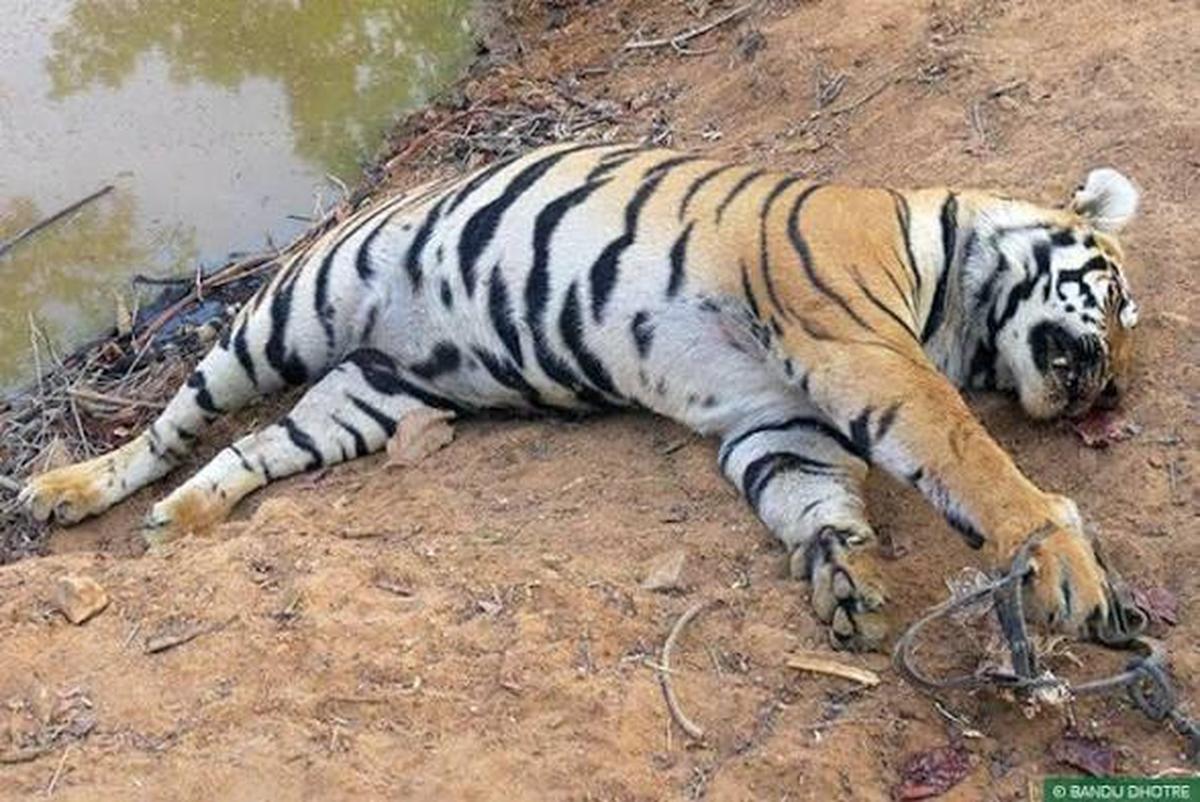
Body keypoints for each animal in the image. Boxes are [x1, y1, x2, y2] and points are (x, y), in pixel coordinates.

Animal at [21, 142, 1147, 651]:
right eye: (1122, 301)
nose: (1108, 398)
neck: (949, 306)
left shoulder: (774, 420)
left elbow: (815, 499)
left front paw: (849, 582)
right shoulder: (859, 348)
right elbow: (969, 459)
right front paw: (1065, 562)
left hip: (369, 398)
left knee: (248, 450)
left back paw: (184, 517)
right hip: (284, 317)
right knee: (175, 420)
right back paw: (69, 489)